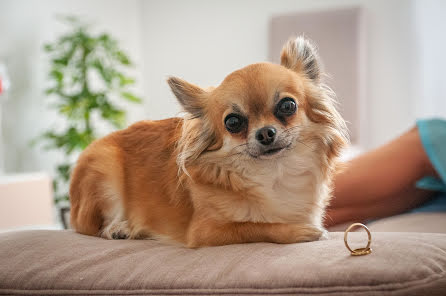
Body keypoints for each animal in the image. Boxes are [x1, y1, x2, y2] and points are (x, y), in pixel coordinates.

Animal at [69, 37, 348, 247]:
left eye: (288, 106)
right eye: (233, 122)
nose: (266, 133)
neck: (273, 175)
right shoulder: (206, 231)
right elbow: (254, 226)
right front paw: (300, 231)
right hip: (104, 169)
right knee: (92, 227)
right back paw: (119, 228)